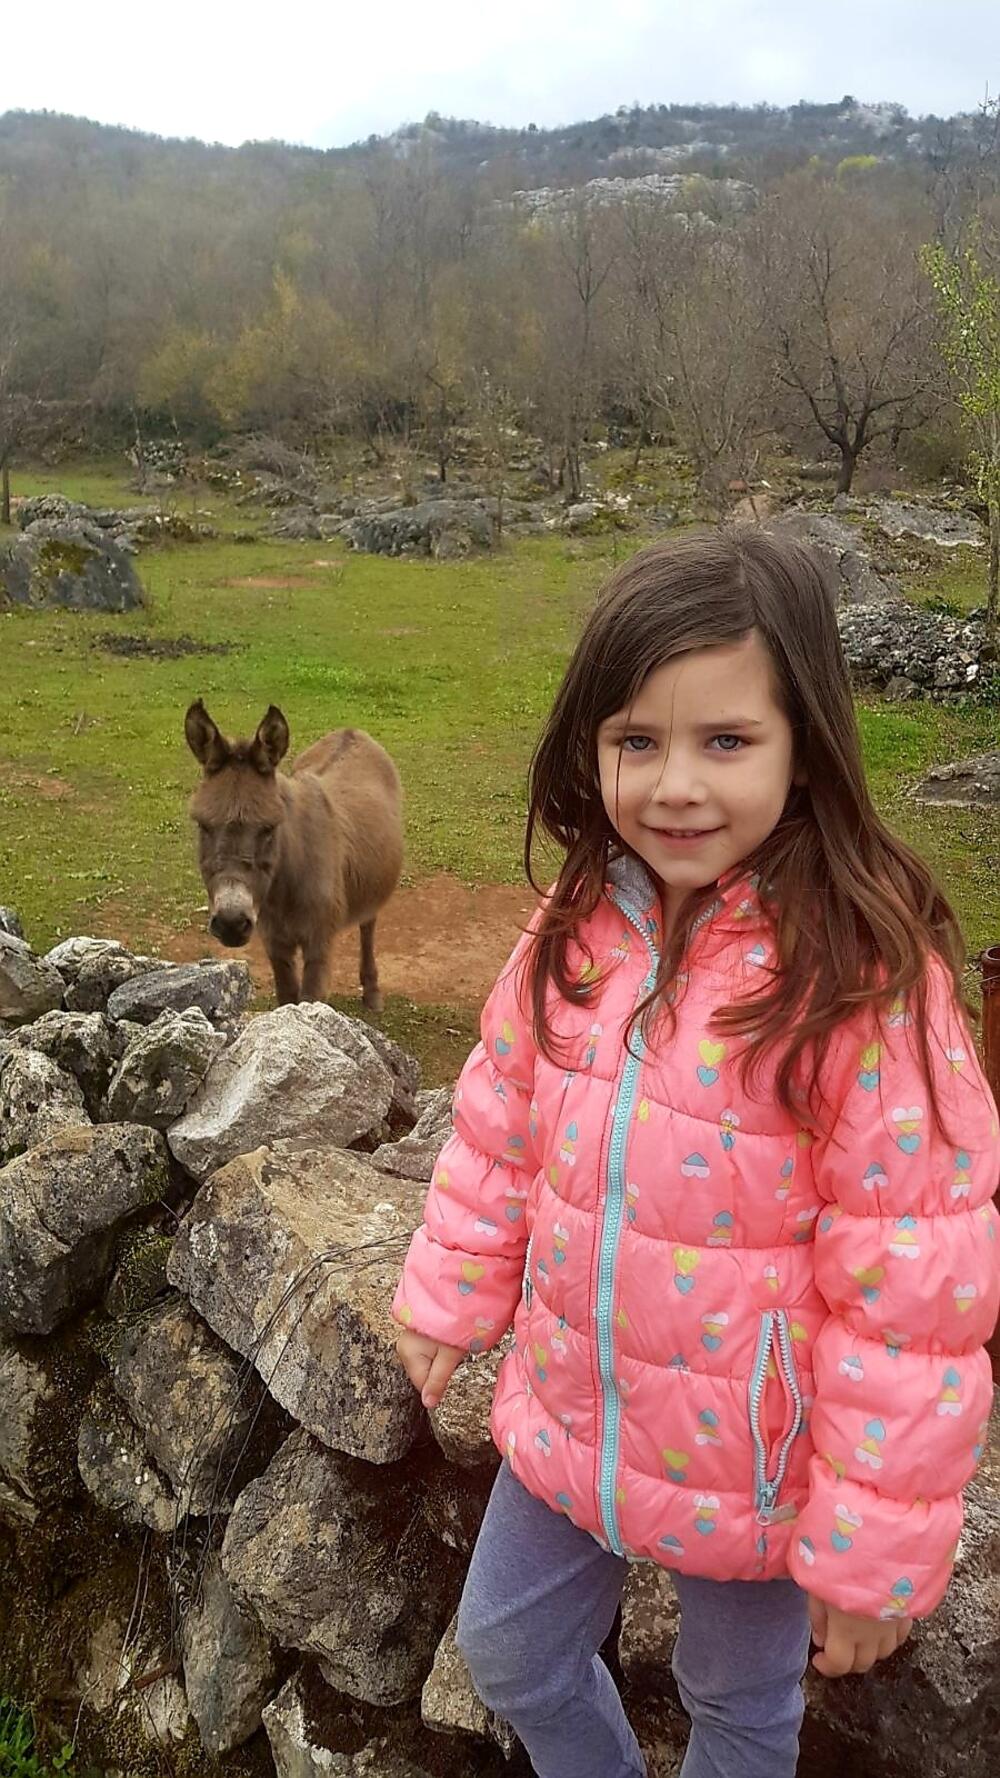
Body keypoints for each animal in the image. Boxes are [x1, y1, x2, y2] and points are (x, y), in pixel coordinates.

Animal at [184, 700, 403, 1010]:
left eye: (270, 827)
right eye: (202, 824)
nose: (230, 924)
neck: (283, 888)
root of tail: (352, 731)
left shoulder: (319, 945)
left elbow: (308, 1001)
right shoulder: (275, 942)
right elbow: (286, 998)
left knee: (368, 926)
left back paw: (372, 993)